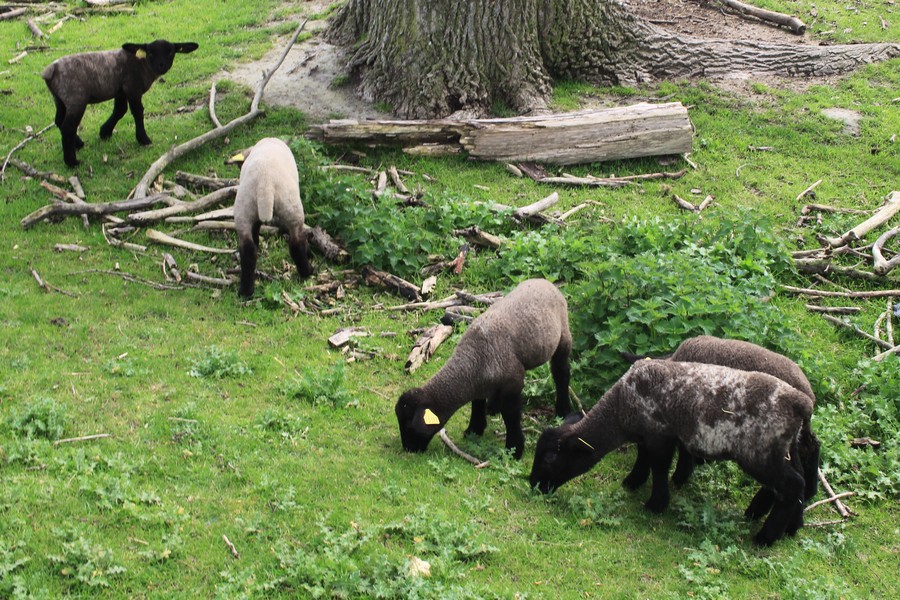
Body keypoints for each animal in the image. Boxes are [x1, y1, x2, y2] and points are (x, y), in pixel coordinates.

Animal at [42, 40, 199, 166]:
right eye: (151, 52)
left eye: (171, 52)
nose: (162, 65)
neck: (142, 64)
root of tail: (50, 71)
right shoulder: (132, 88)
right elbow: (137, 112)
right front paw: (144, 139)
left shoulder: (121, 90)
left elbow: (120, 110)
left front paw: (105, 132)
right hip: (76, 98)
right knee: (68, 127)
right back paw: (72, 162)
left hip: (59, 99)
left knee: (59, 121)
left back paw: (78, 144)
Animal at [232, 137, 313, 299]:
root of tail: (265, 183)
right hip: (291, 207)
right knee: (296, 243)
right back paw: (307, 271)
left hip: (243, 209)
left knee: (248, 249)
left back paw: (245, 290)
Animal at [395, 278, 572, 459]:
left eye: (408, 425)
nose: (408, 448)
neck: (474, 358)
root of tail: (544, 281)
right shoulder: (480, 382)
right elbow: (477, 403)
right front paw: (474, 429)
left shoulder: (513, 382)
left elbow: (511, 416)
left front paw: (514, 449)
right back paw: (493, 406)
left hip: (563, 335)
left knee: (561, 373)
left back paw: (563, 410)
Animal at [529, 360, 814, 546]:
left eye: (550, 458)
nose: (533, 485)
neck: (619, 408)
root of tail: (800, 403)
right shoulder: (648, 433)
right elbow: (643, 458)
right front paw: (633, 482)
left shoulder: (659, 435)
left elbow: (658, 466)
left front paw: (655, 503)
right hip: (785, 448)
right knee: (797, 481)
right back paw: (790, 526)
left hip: (760, 451)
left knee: (791, 485)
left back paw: (766, 537)